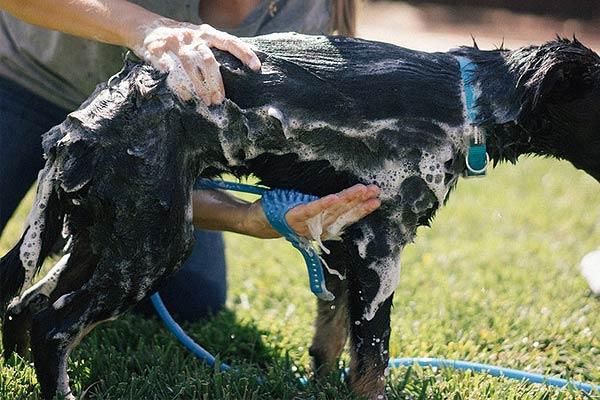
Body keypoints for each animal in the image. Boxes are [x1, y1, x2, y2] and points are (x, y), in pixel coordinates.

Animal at [1, 32, 600, 398]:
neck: (467, 100)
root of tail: (76, 126)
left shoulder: (338, 248)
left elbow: (329, 347)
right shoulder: (380, 252)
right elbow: (371, 365)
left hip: (102, 239)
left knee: (24, 307)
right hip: (153, 248)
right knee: (53, 327)